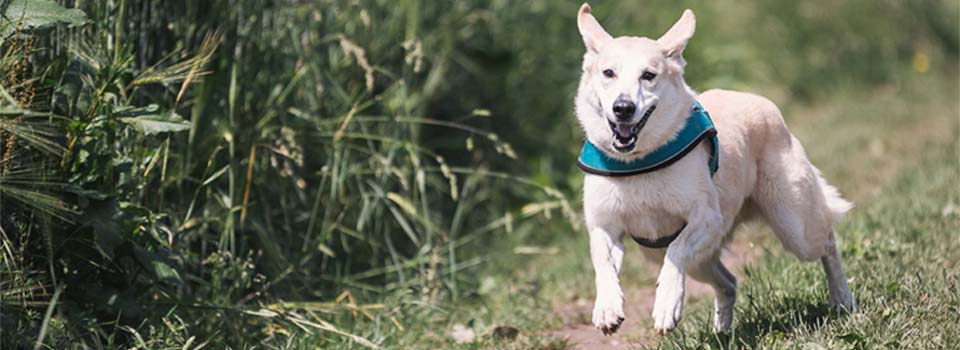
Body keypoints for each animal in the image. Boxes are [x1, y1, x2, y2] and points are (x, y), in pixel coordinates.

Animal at [572, 3, 860, 336]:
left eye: (648, 75)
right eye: (608, 73)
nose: (623, 108)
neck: (638, 162)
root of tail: (760, 101)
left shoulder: (706, 218)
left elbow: (676, 250)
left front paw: (666, 305)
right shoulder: (604, 227)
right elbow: (603, 263)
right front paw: (607, 308)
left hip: (795, 227)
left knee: (827, 243)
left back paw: (842, 299)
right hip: (694, 260)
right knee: (729, 282)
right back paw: (722, 331)